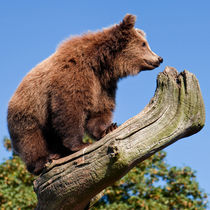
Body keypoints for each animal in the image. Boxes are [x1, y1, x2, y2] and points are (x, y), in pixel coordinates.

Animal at [7, 13, 163, 175]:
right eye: (144, 44)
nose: (159, 58)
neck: (99, 63)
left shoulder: (102, 86)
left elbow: (99, 110)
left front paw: (109, 128)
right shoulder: (73, 75)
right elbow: (70, 108)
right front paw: (80, 144)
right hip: (28, 112)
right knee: (31, 139)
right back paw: (44, 160)